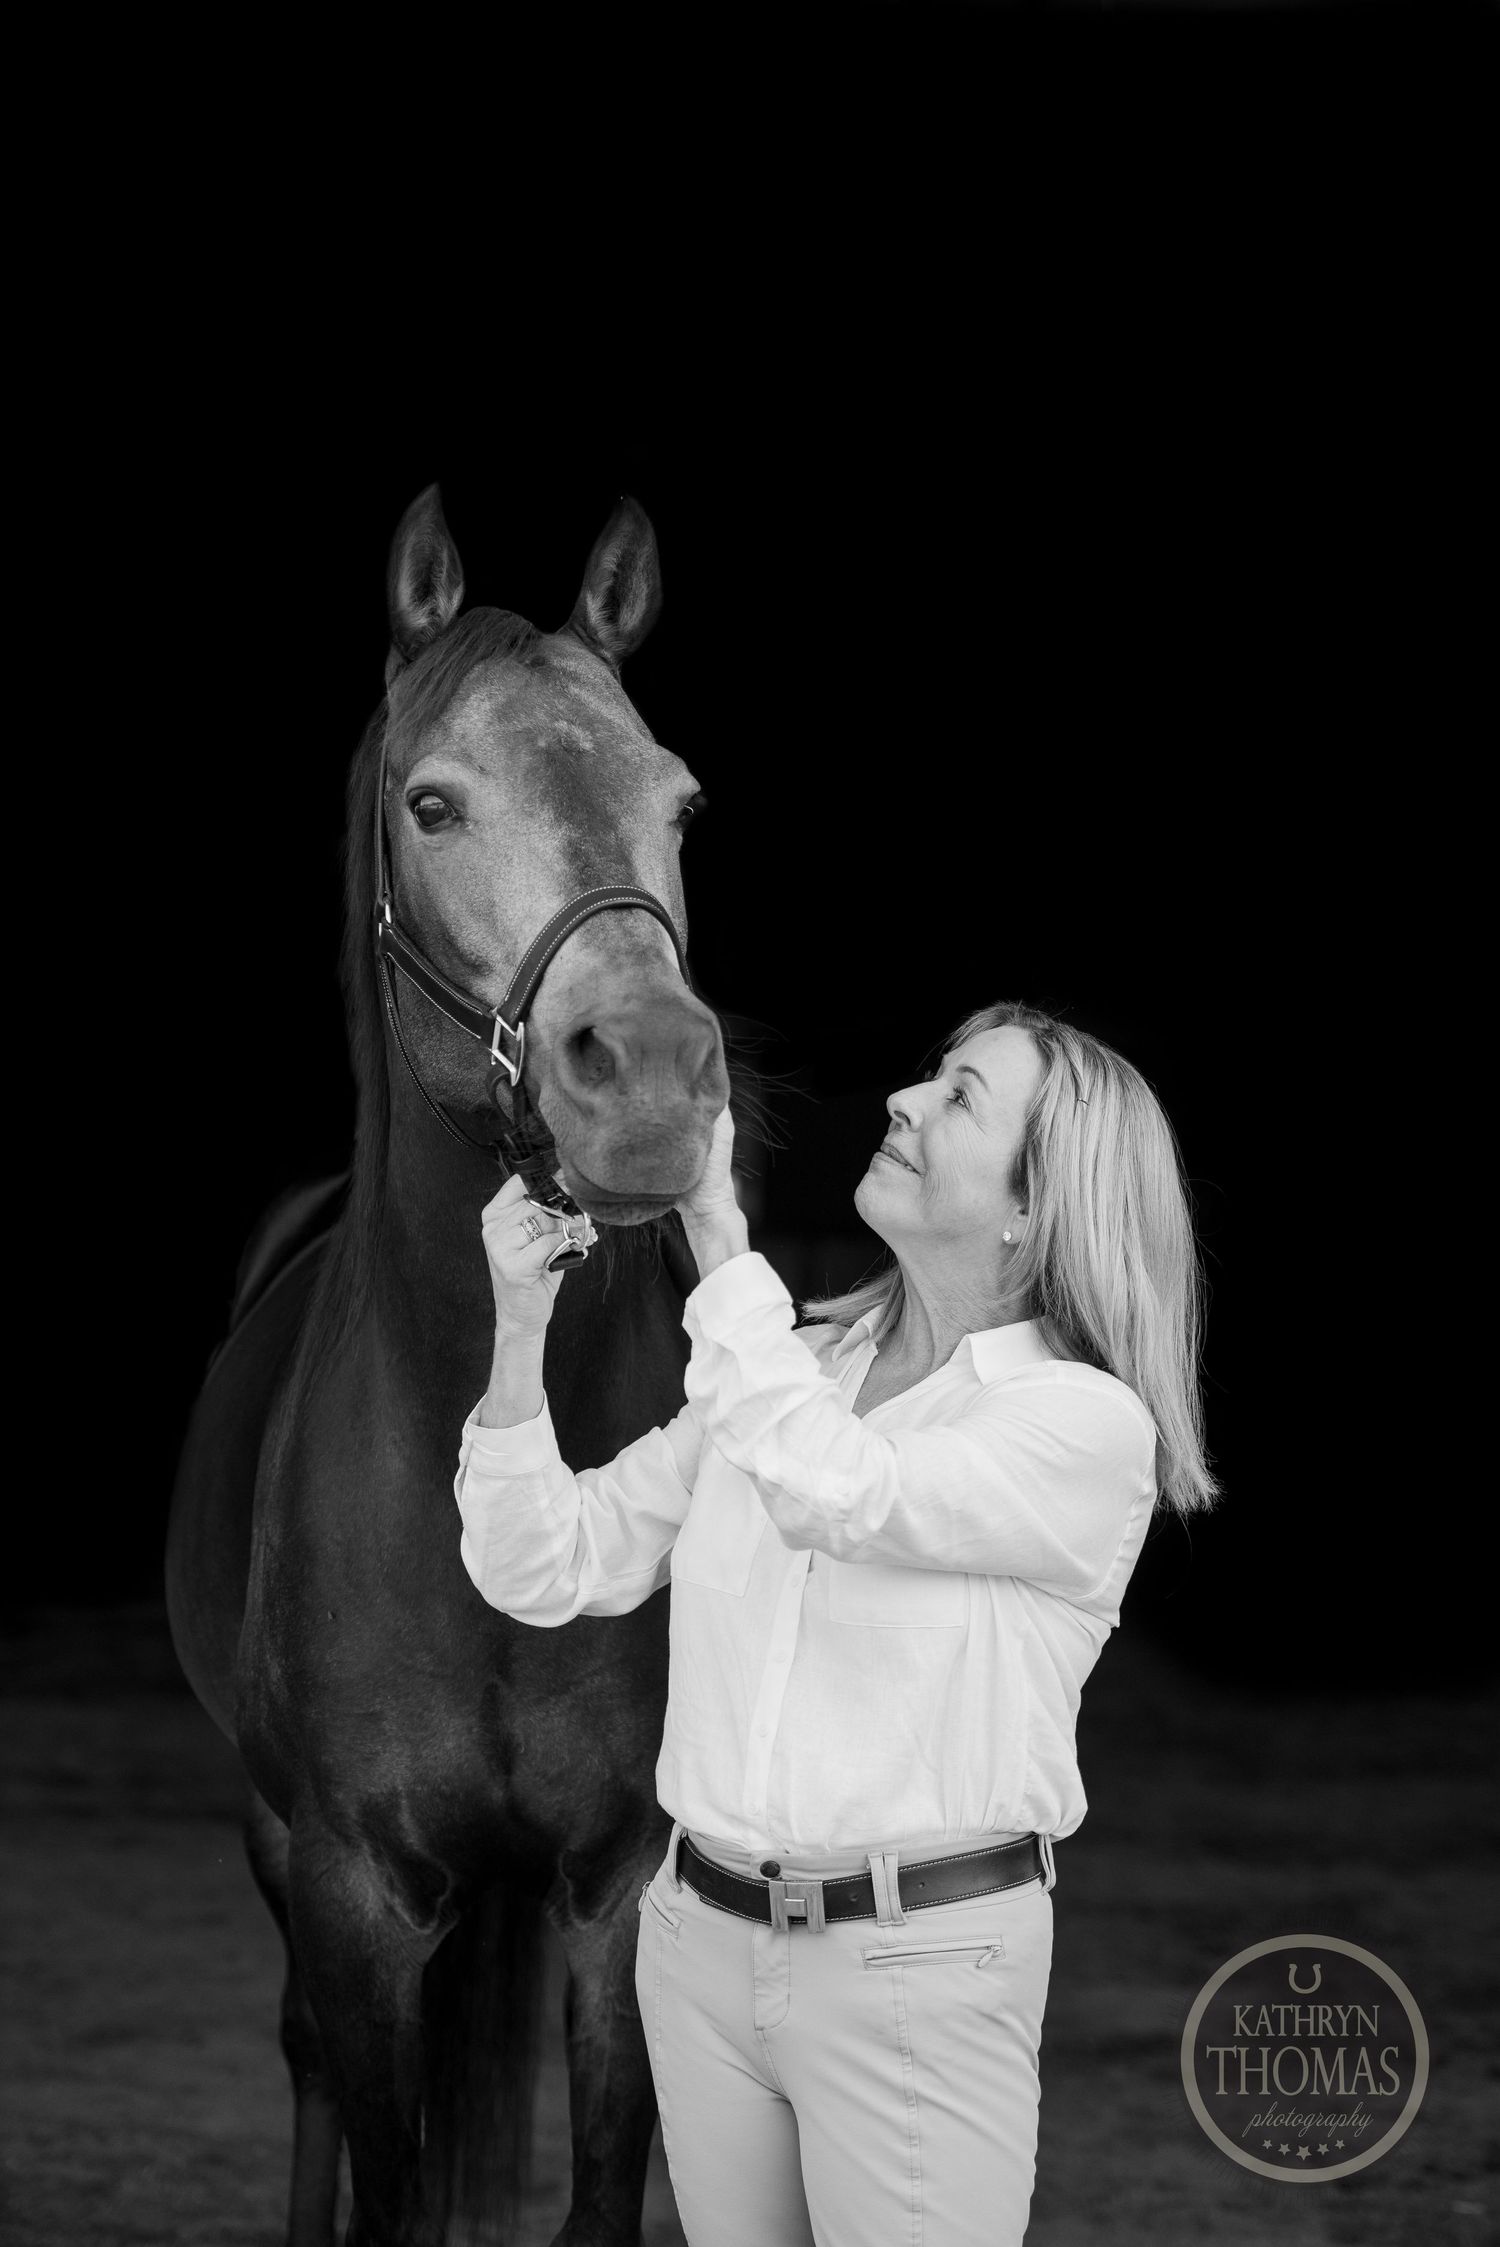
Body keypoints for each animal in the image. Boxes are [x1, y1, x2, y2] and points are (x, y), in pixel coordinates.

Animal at [166, 486, 730, 2246]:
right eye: (432, 802)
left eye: (682, 802)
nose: (655, 1079)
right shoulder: (352, 1887)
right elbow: (389, 2174)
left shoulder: (619, 1882)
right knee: (303, 2067)